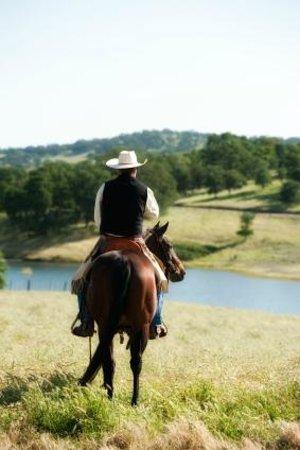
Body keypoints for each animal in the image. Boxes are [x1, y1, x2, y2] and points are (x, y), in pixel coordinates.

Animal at [78, 221, 185, 404]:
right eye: (169, 245)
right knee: (136, 363)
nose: (181, 272)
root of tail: (124, 263)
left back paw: (110, 396)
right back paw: (134, 400)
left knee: (109, 360)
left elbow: (101, 356)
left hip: (105, 324)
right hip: (141, 327)